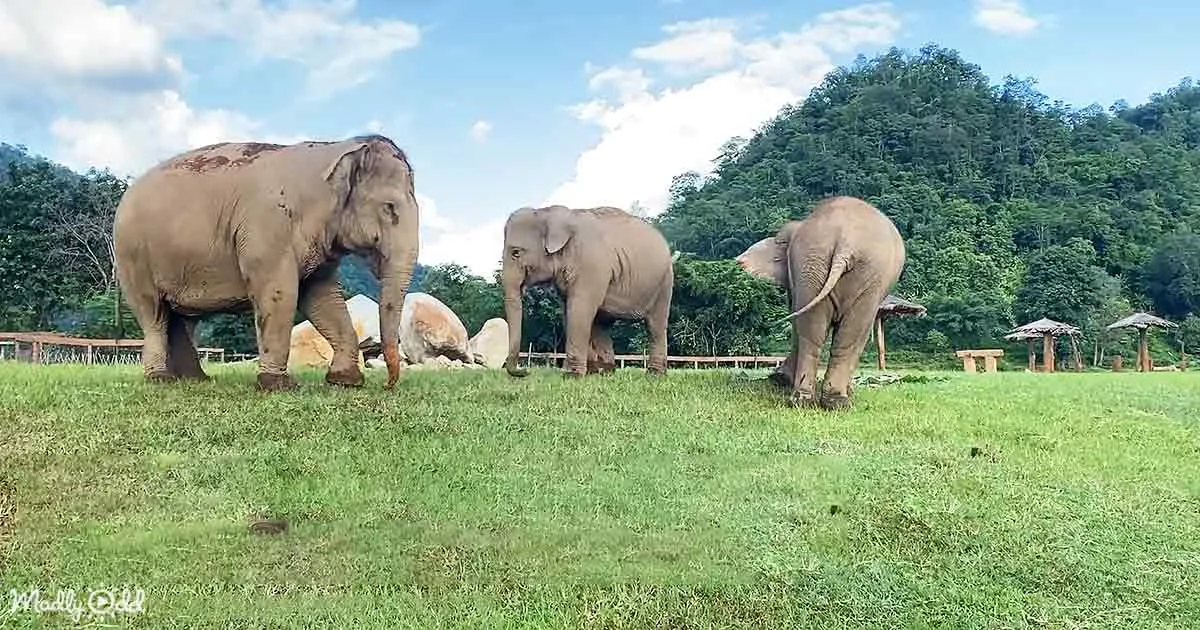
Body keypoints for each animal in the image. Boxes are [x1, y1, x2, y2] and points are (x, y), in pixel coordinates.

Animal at [112, 135, 420, 391]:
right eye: (390, 208)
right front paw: (277, 385)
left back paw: (196, 379)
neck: (335, 148)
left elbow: (323, 299)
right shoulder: (268, 228)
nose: (388, 384)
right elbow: (280, 294)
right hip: (133, 257)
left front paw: (345, 381)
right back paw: (160, 379)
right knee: (154, 313)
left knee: (183, 319)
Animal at [500, 205, 674, 377]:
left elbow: (579, 309)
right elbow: (568, 311)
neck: (547, 212)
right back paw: (605, 372)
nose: (525, 371)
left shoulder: (591, 264)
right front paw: (585, 373)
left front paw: (573, 376)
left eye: (516, 252)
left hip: (664, 282)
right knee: (601, 323)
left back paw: (654, 375)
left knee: (655, 326)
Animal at [736, 196, 906, 410]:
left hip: (826, 266)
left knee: (817, 332)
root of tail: (845, 242)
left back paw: (813, 400)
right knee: (834, 333)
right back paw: (828, 400)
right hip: (831, 268)